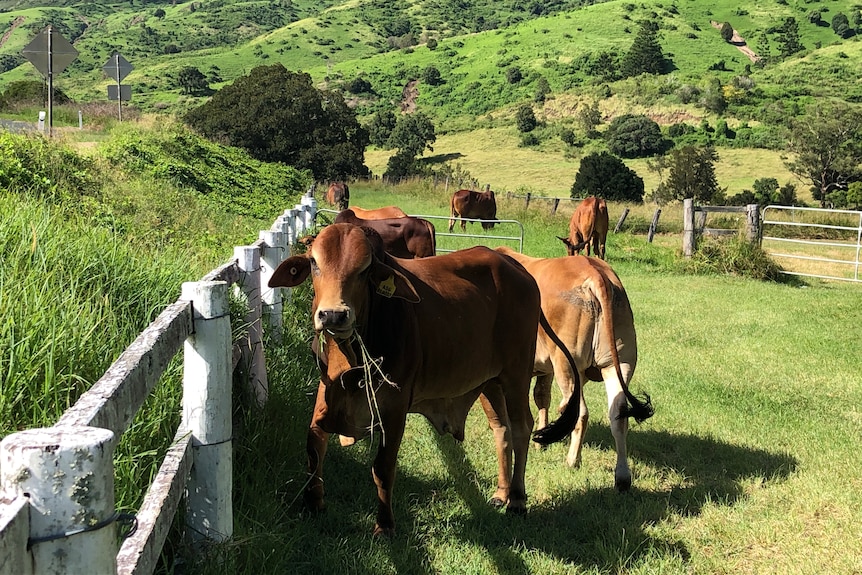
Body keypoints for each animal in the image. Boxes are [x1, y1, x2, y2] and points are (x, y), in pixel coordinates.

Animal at [266, 224, 584, 536]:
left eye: (365, 270)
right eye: (314, 263)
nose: (333, 315)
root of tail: (518, 269)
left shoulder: (394, 409)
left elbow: (383, 468)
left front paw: (385, 525)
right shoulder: (326, 395)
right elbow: (313, 447)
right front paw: (313, 503)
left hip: (515, 374)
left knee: (521, 428)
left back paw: (517, 500)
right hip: (490, 382)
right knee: (501, 429)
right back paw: (501, 493)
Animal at [500, 246, 656, 490]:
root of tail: (597, 274)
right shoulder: (544, 369)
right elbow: (541, 397)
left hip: (567, 365)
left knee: (580, 412)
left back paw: (573, 460)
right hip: (619, 362)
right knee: (618, 414)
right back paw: (622, 476)